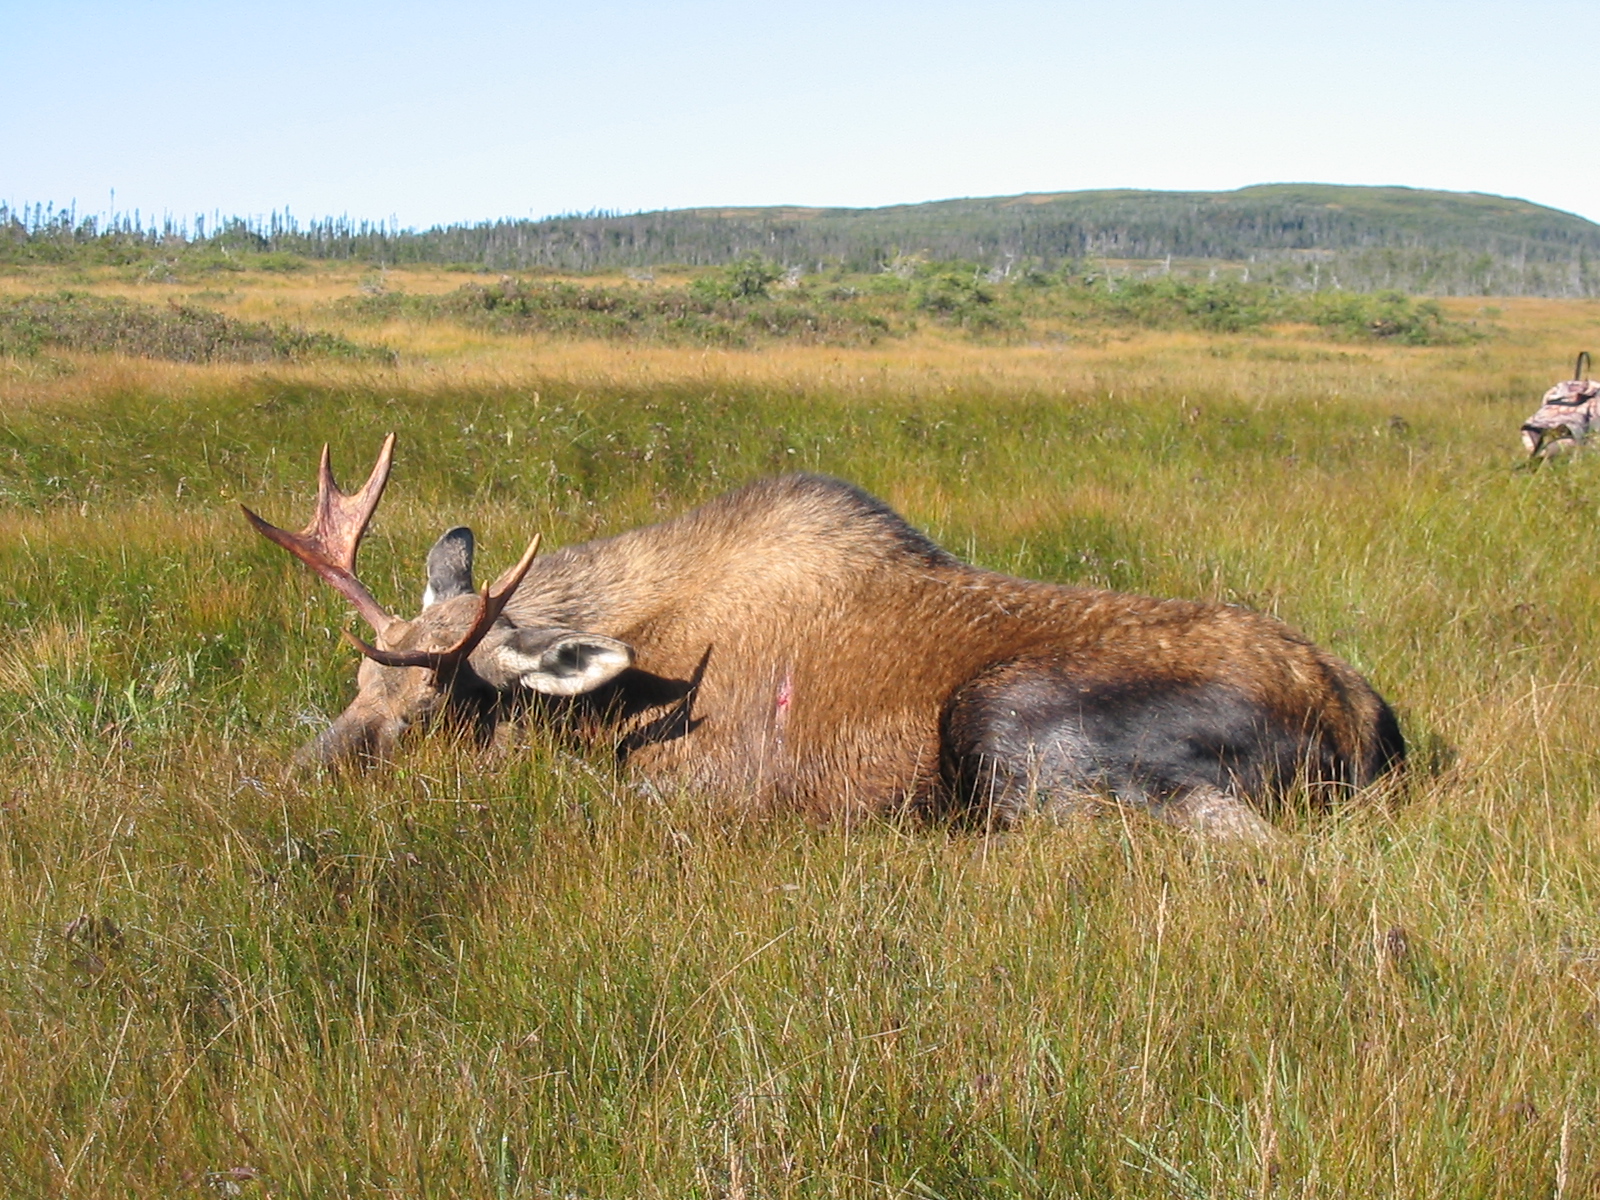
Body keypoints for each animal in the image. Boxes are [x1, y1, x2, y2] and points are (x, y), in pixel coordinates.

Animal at [243, 438, 1408, 838]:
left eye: (432, 703)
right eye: (357, 684)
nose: (286, 782)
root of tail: (1371, 728)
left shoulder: (692, 787)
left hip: (1004, 724)